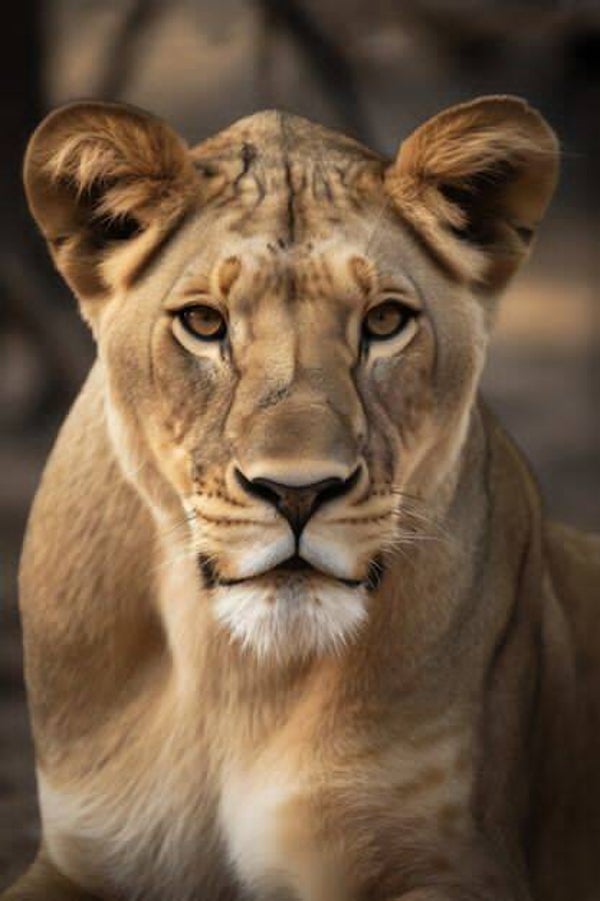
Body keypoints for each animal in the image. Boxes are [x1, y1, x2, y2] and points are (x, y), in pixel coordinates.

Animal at [2, 94, 599, 901]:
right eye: (204, 323)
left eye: (384, 321)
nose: (297, 492)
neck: (237, 679)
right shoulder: (77, 853)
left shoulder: (454, 861)